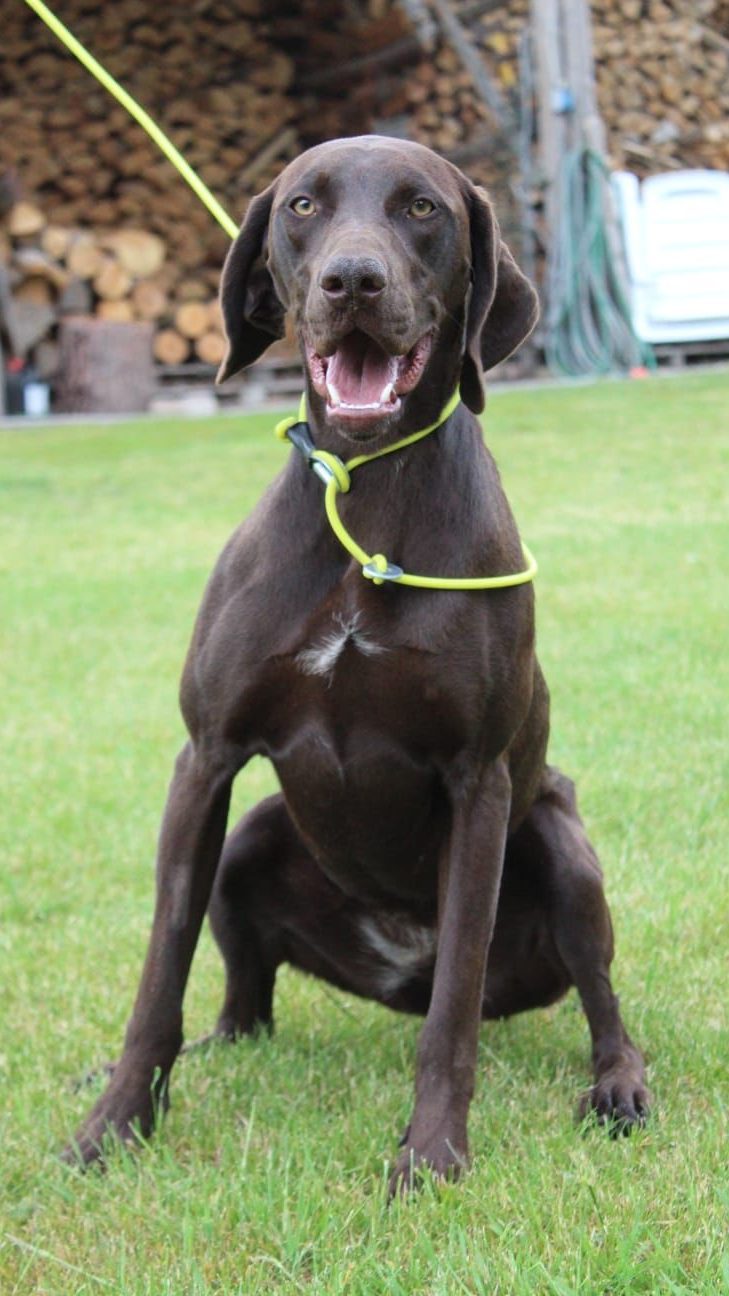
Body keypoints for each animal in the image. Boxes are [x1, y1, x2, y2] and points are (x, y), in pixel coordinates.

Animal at [66, 137, 648, 1192]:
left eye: (422, 208)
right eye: (303, 205)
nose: (352, 281)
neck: (364, 492)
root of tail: (393, 970)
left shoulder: (480, 783)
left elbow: (453, 1011)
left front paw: (432, 1152)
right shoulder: (205, 761)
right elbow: (158, 983)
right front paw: (113, 1126)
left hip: (559, 840)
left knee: (594, 1000)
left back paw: (619, 1084)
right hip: (251, 835)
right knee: (242, 1007)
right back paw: (215, 1050)